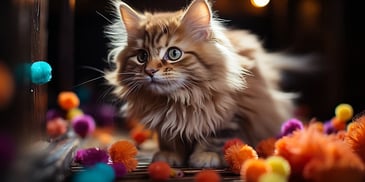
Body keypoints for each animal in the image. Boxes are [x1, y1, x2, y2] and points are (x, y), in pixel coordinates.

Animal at [104, 0, 296, 168]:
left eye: (174, 53)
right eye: (142, 56)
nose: (150, 71)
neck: (179, 99)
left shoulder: (230, 114)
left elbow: (215, 137)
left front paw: (206, 155)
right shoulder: (164, 118)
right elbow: (169, 137)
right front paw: (169, 154)